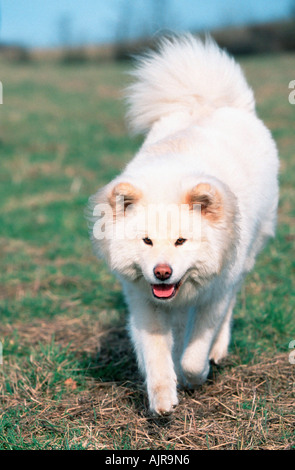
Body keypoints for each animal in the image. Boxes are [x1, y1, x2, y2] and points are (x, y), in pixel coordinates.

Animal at [88, 35, 280, 414]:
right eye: (146, 241)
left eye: (181, 241)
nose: (162, 272)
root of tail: (211, 104)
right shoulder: (144, 301)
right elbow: (157, 355)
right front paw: (162, 398)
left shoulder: (214, 295)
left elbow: (195, 351)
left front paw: (196, 374)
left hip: (244, 261)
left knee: (226, 312)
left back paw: (217, 352)